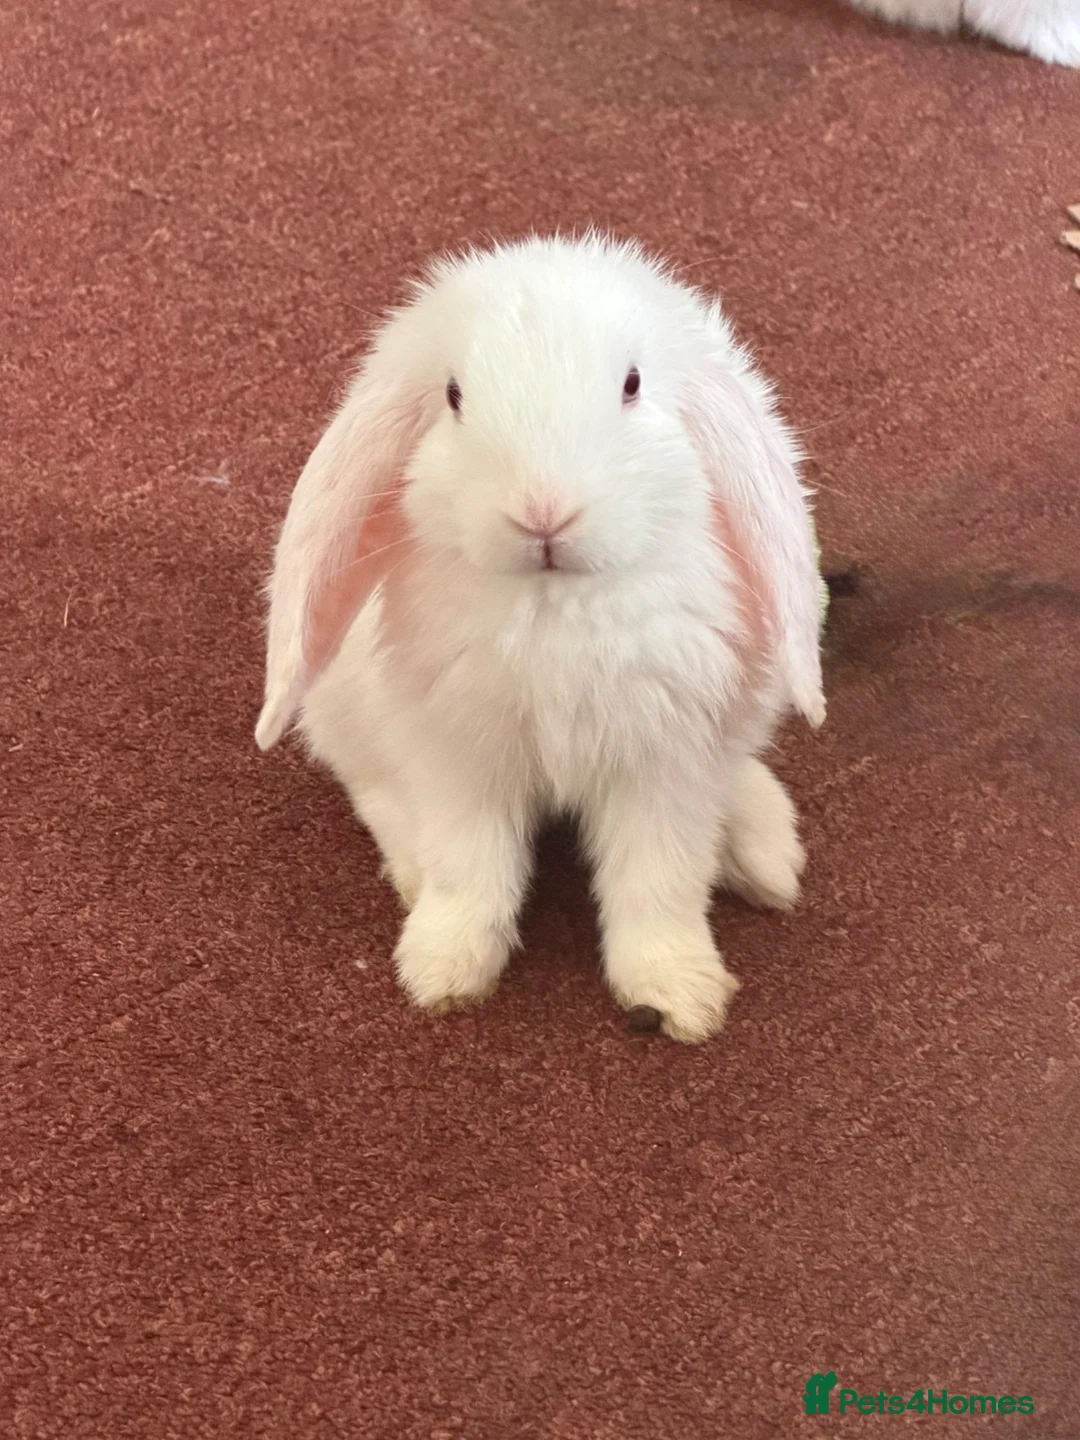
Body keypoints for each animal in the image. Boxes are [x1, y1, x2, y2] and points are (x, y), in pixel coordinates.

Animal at [254, 234, 826, 1044]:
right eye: (455, 397)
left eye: (631, 384)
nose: (543, 513)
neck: (555, 603)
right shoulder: (461, 762)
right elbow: (471, 871)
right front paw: (443, 973)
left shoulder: (666, 767)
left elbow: (658, 884)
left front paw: (679, 997)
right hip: (345, 710)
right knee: (377, 794)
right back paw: (410, 874)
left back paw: (767, 860)